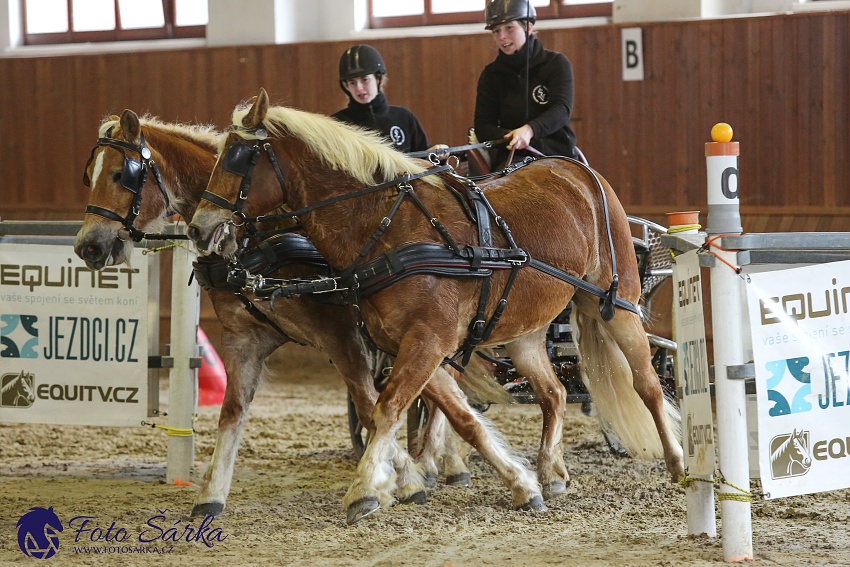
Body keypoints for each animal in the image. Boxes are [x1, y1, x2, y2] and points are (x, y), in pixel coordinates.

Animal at [73, 110, 470, 520]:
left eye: (121, 174)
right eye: (90, 174)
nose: (88, 246)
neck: (258, 237)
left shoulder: (340, 333)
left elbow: (369, 403)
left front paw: (399, 481)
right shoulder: (243, 336)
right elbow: (232, 411)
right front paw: (211, 494)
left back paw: (443, 462)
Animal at [189, 86, 684, 524]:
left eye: (237, 157)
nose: (198, 227)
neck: (389, 228)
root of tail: (578, 172)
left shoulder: (429, 340)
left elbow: (388, 408)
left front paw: (365, 490)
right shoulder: (417, 345)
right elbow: (458, 416)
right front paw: (514, 484)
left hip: (616, 304)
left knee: (647, 384)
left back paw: (678, 463)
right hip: (525, 330)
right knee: (554, 393)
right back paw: (552, 472)